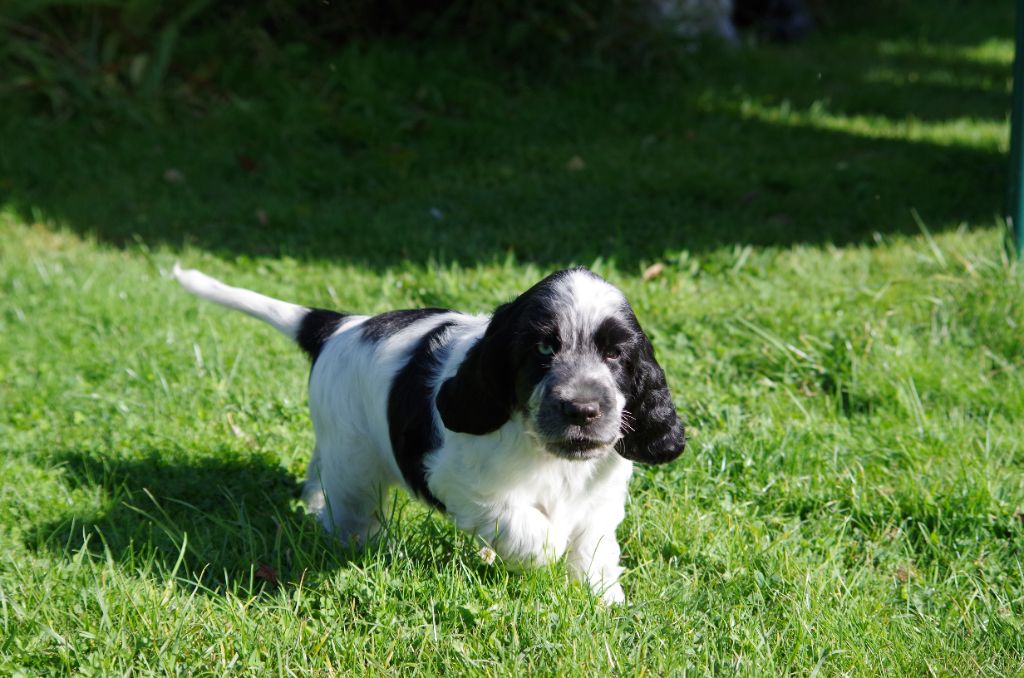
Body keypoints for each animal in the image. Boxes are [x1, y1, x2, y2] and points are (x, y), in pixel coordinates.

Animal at [174, 266, 688, 606]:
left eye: (616, 354)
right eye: (543, 348)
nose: (582, 409)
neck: (547, 453)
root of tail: (340, 326)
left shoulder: (600, 497)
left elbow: (594, 545)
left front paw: (604, 600)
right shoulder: (460, 480)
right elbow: (528, 528)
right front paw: (548, 552)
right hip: (354, 461)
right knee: (353, 509)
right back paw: (363, 544)